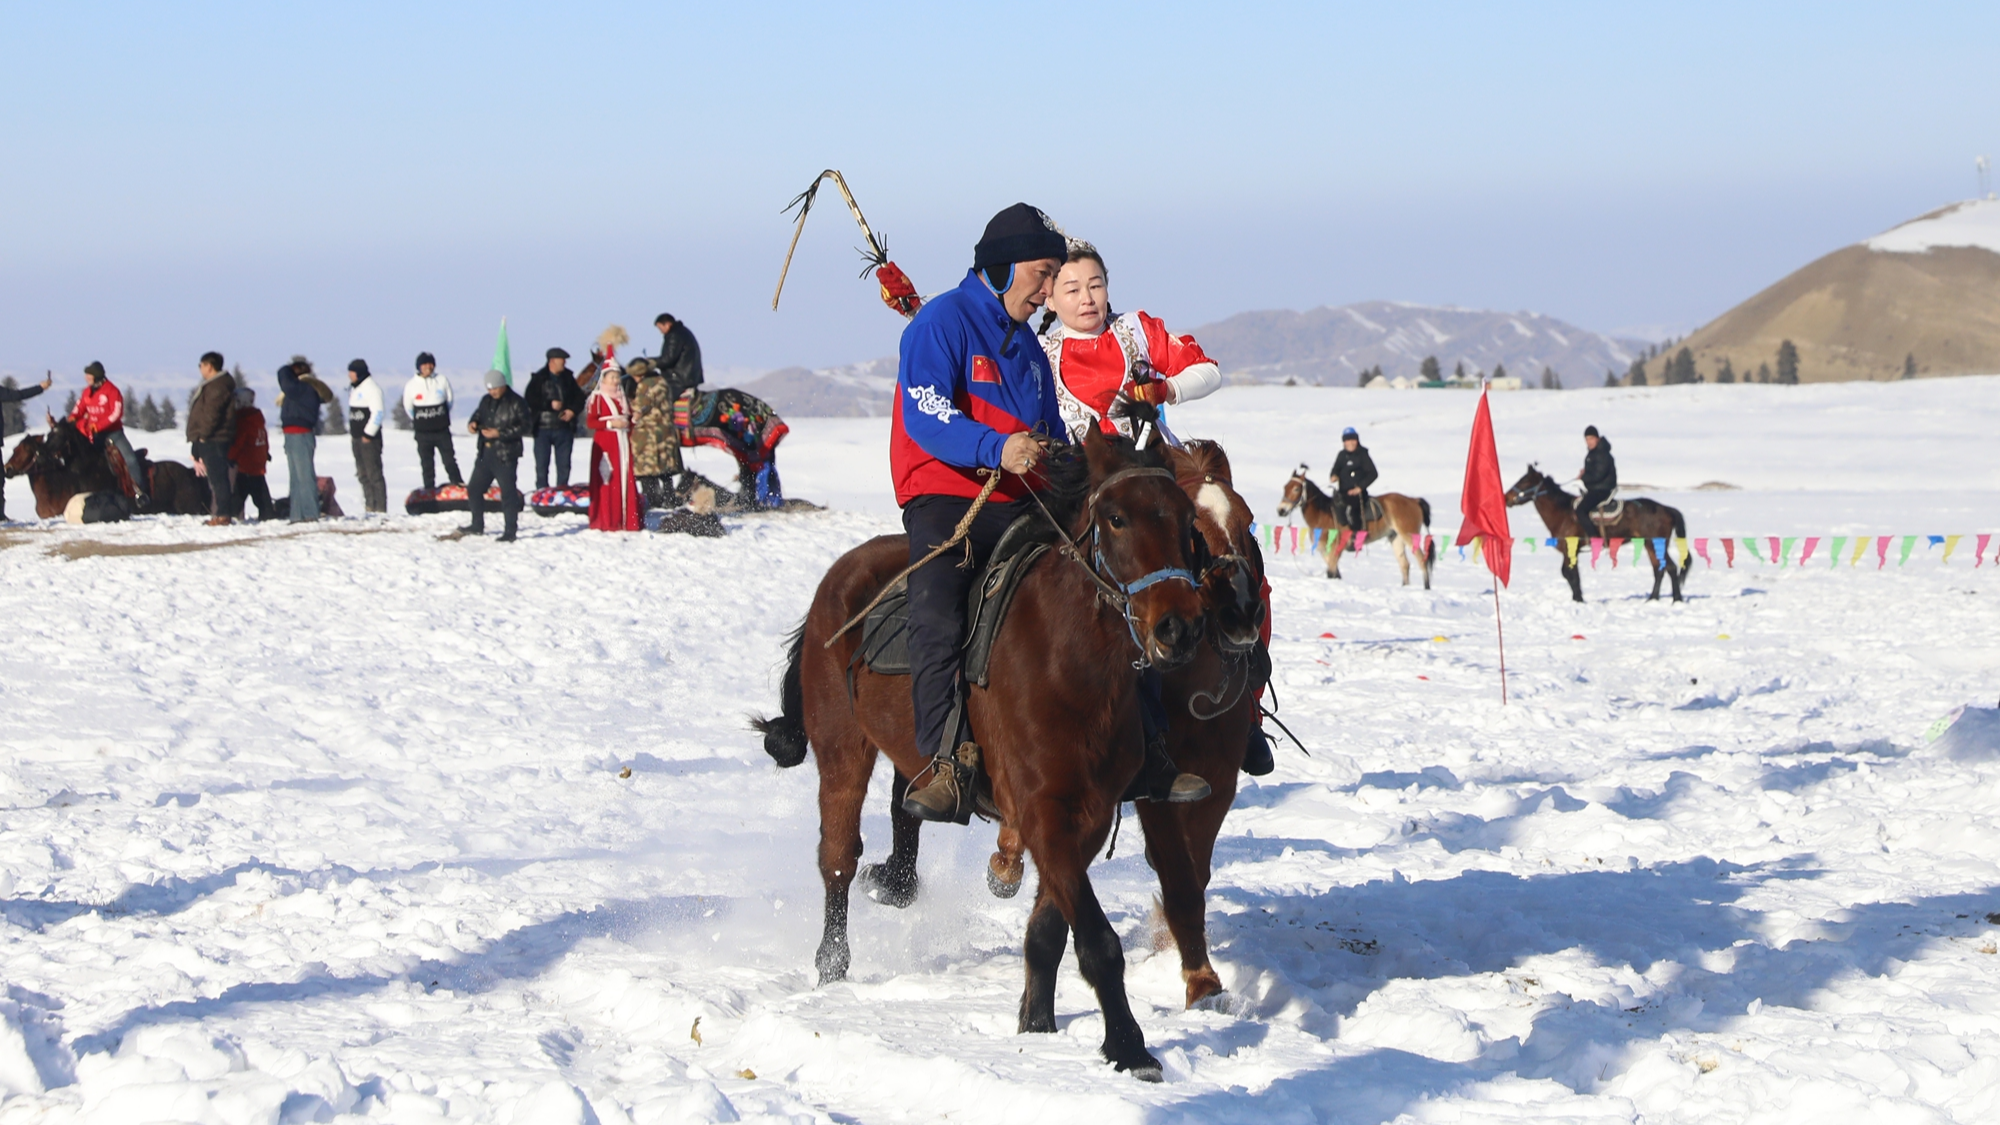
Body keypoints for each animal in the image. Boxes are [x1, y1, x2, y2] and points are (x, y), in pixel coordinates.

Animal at [753, 428, 1212, 1080]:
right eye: (1117, 518)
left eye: (1185, 519)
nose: (1179, 628)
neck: (1069, 661)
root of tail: (837, 581)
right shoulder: (1044, 812)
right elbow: (1098, 942)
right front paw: (1129, 1048)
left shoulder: (1087, 816)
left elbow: (1050, 929)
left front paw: (1036, 1023)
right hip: (843, 751)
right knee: (837, 858)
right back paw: (832, 964)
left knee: (903, 809)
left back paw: (895, 874)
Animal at [1276, 466, 1435, 588]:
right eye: (1285, 487)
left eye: (1296, 489)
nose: (1281, 510)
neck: (1324, 514)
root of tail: (1413, 501)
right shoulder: (1323, 549)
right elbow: (1333, 572)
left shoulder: (1336, 548)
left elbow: (1332, 572)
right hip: (1395, 537)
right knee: (1404, 565)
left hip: (1409, 535)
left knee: (1422, 560)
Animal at [1504, 464, 1688, 602]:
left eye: (1525, 481)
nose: (1506, 498)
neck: (1562, 512)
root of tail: (1667, 509)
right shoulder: (1567, 551)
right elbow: (1568, 574)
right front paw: (1577, 598)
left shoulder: (1571, 549)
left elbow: (1572, 574)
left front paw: (1579, 600)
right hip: (1649, 544)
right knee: (1659, 569)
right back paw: (1652, 598)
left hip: (1656, 543)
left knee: (1670, 568)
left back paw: (1676, 599)